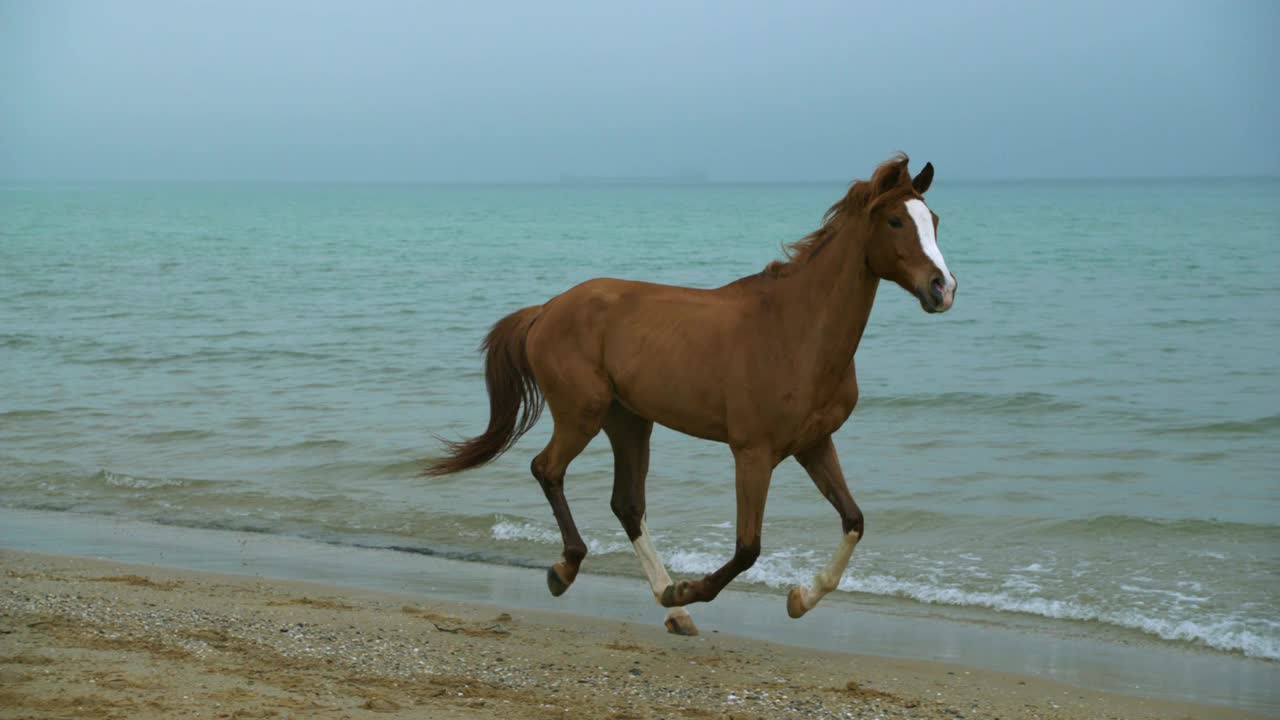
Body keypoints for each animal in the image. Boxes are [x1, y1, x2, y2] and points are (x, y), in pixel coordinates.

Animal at [424, 152, 957, 632]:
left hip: (629, 420)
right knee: (547, 469)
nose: (943, 288)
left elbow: (854, 520)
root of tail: (546, 309)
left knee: (627, 504)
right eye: (894, 220)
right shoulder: (753, 452)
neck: (796, 331)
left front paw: (800, 599)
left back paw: (671, 608)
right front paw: (689, 589)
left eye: (932, 220)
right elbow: (748, 548)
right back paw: (570, 570)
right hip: (583, 414)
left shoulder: (814, 444)